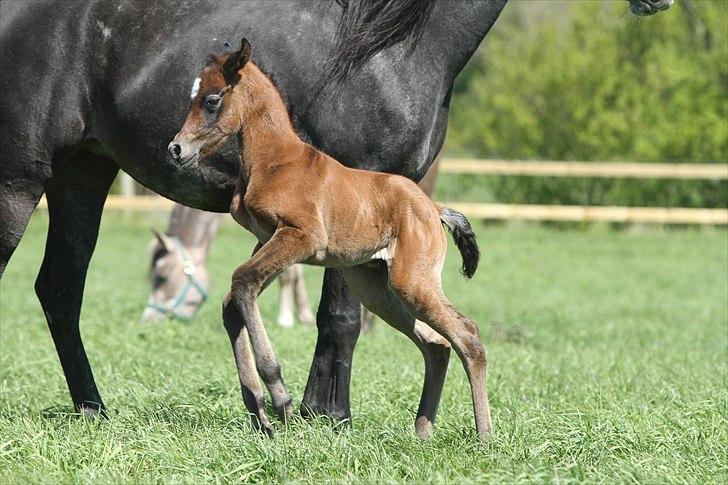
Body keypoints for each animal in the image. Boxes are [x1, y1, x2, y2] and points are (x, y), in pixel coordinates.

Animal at [168, 38, 492, 438]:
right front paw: (258, 410)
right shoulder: (269, 240)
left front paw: (280, 398)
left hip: (412, 282)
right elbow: (234, 301)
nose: (176, 149)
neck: (275, 160)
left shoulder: (302, 237)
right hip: (376, 288)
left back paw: (484, 435)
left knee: (467, 335)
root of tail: (434, 209)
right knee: (436, 344)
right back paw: (422, 431)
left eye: (211, 100)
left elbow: (242, 282)